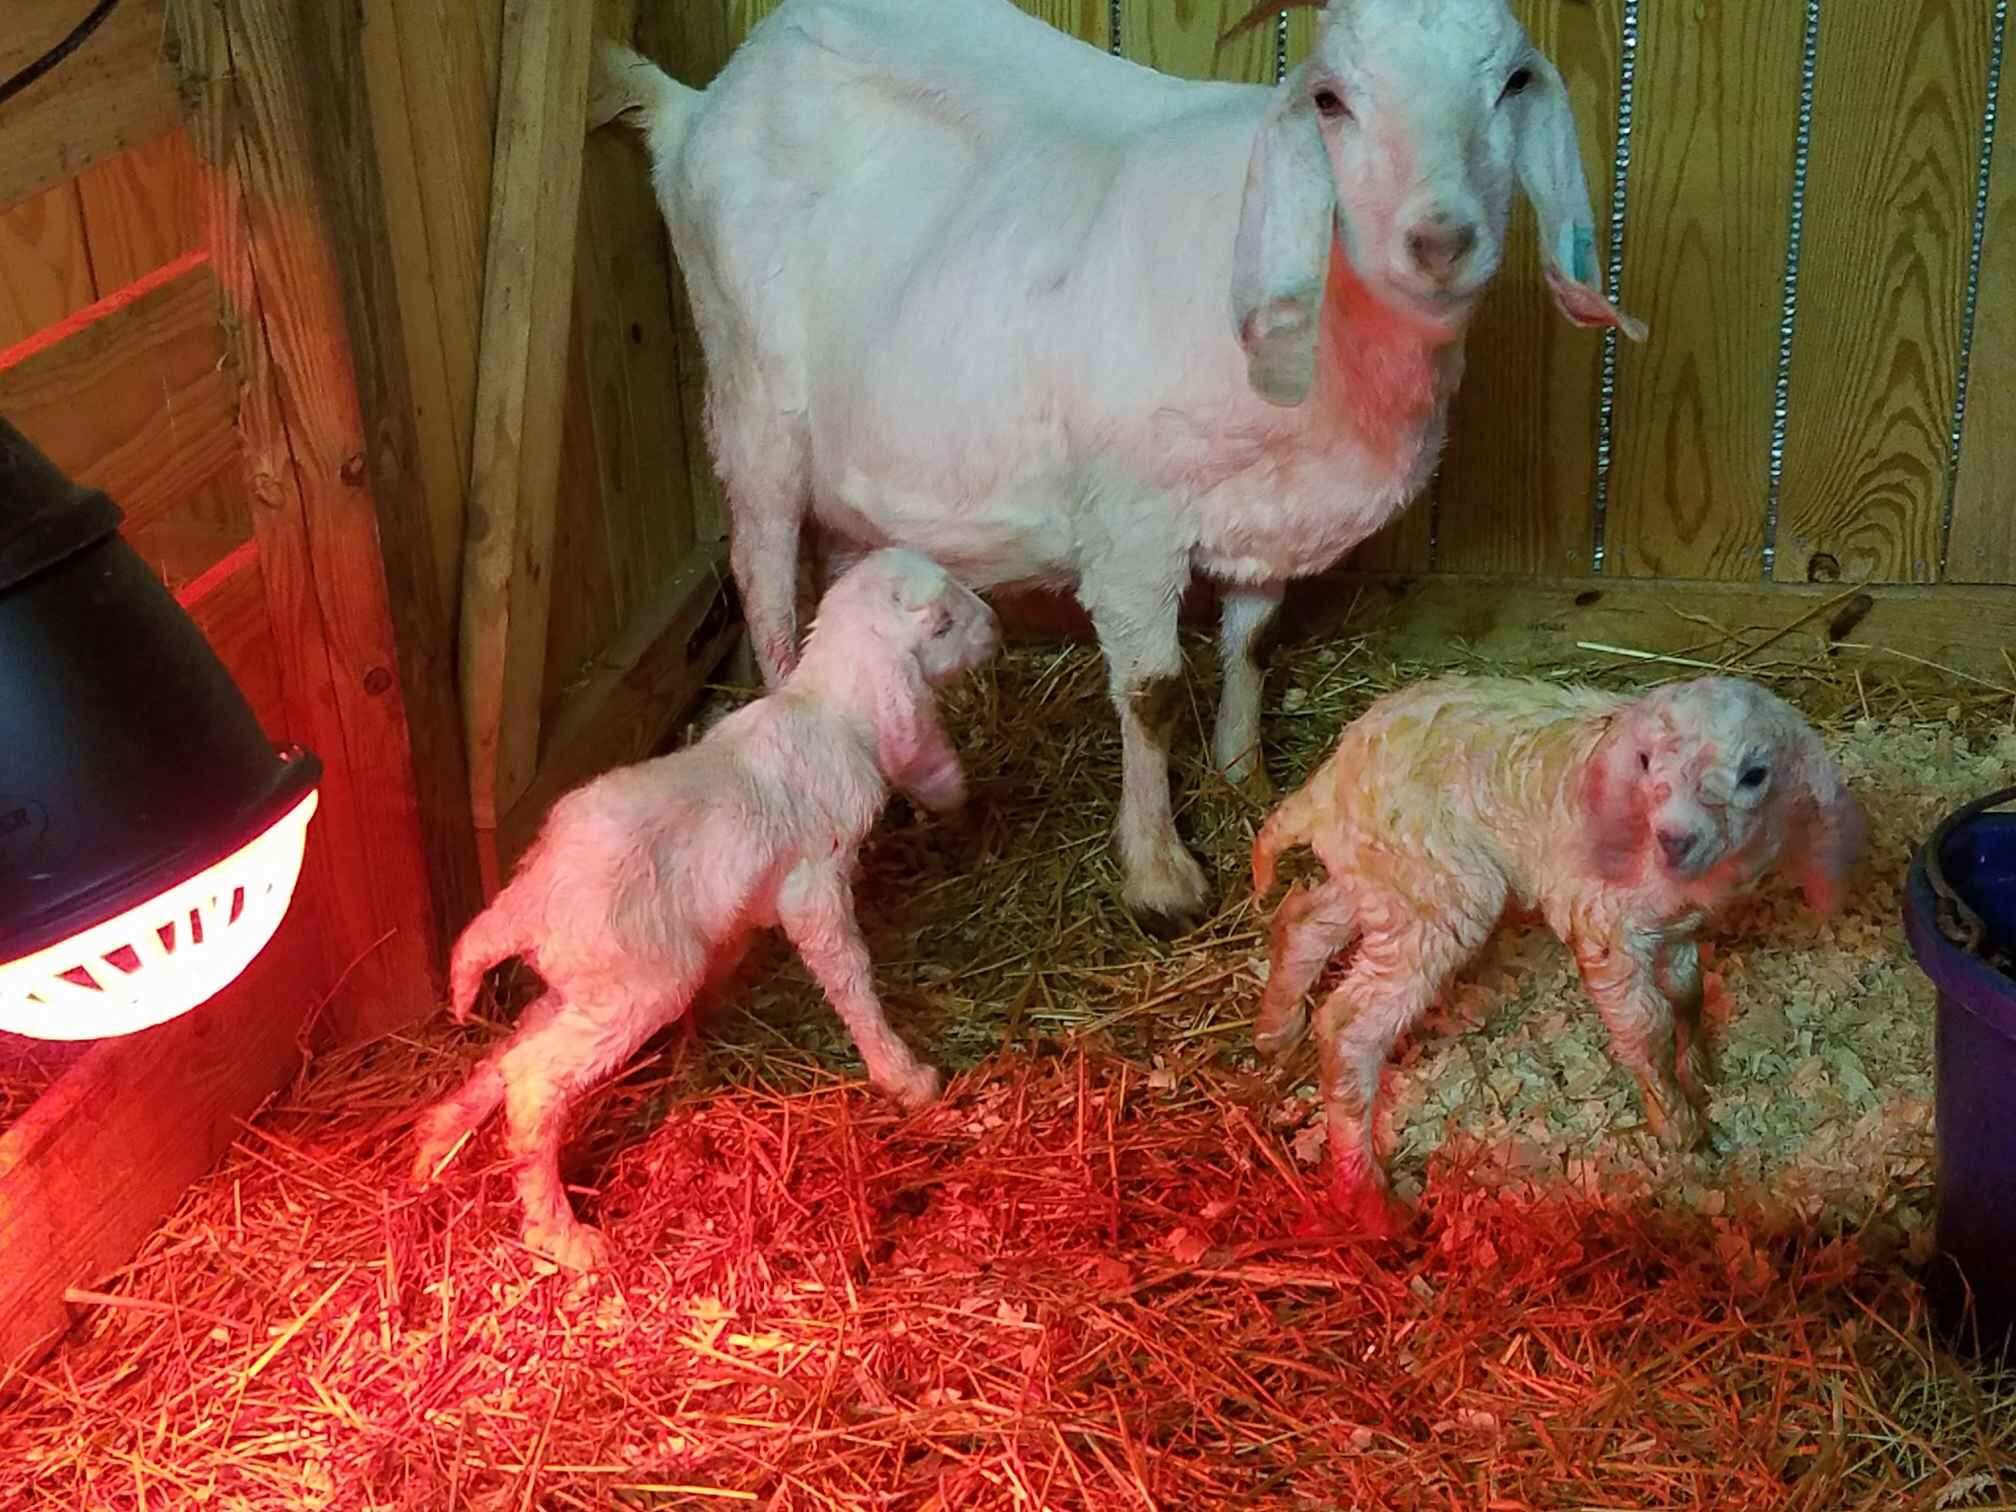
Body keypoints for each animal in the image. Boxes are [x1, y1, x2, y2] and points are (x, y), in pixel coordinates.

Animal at [409, 548, 1000, 1272]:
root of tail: (530, 898)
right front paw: (902, 1073)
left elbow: (735, 955)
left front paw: (705, 1031)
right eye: (942, 622)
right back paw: (562, 1234)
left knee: (513, 1047)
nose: (997, 628)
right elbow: (849, 976)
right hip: (640, 981)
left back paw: (439, 1141)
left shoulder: (745, 909)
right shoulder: (815, 885)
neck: (828, 710)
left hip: (583, 984)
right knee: (532, 1081)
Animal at [587, 0, 1645, 933]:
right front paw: (1160, 875)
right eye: (1331, 99)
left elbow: (1254, 643)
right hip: (750, 402)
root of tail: (698, 104)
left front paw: (1246, 779)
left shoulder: (1265, 516)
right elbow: (1153, 692)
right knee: (764, 584)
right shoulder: (1133, 522)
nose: (1440, 239)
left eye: (1513, 83)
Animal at [1249, 674, 1865, 1236]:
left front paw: (1700, 1069)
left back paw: (1276, 1032)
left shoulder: (1675, 929)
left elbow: (1687, 992)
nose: (1676, 839)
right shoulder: (1603, 922)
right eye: (1647, 763)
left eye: (1755, 774)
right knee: (1349, 1023)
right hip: (1437, 890)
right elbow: (1647, 1027)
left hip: (1382, 876)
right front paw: (1680, 1127)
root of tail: (1329, 781)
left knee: (1303, 921)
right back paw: (1369, 1198)